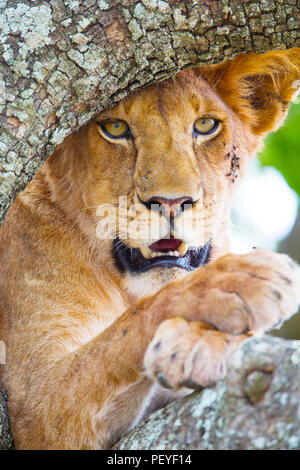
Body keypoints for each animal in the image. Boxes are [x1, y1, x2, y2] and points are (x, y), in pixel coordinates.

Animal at [0, 47, 300, 448]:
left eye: (206, 125)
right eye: (115, 128)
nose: (171, 203)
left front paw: (198, 341)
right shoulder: (36, 401)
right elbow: (126, 329)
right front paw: (238, 281)